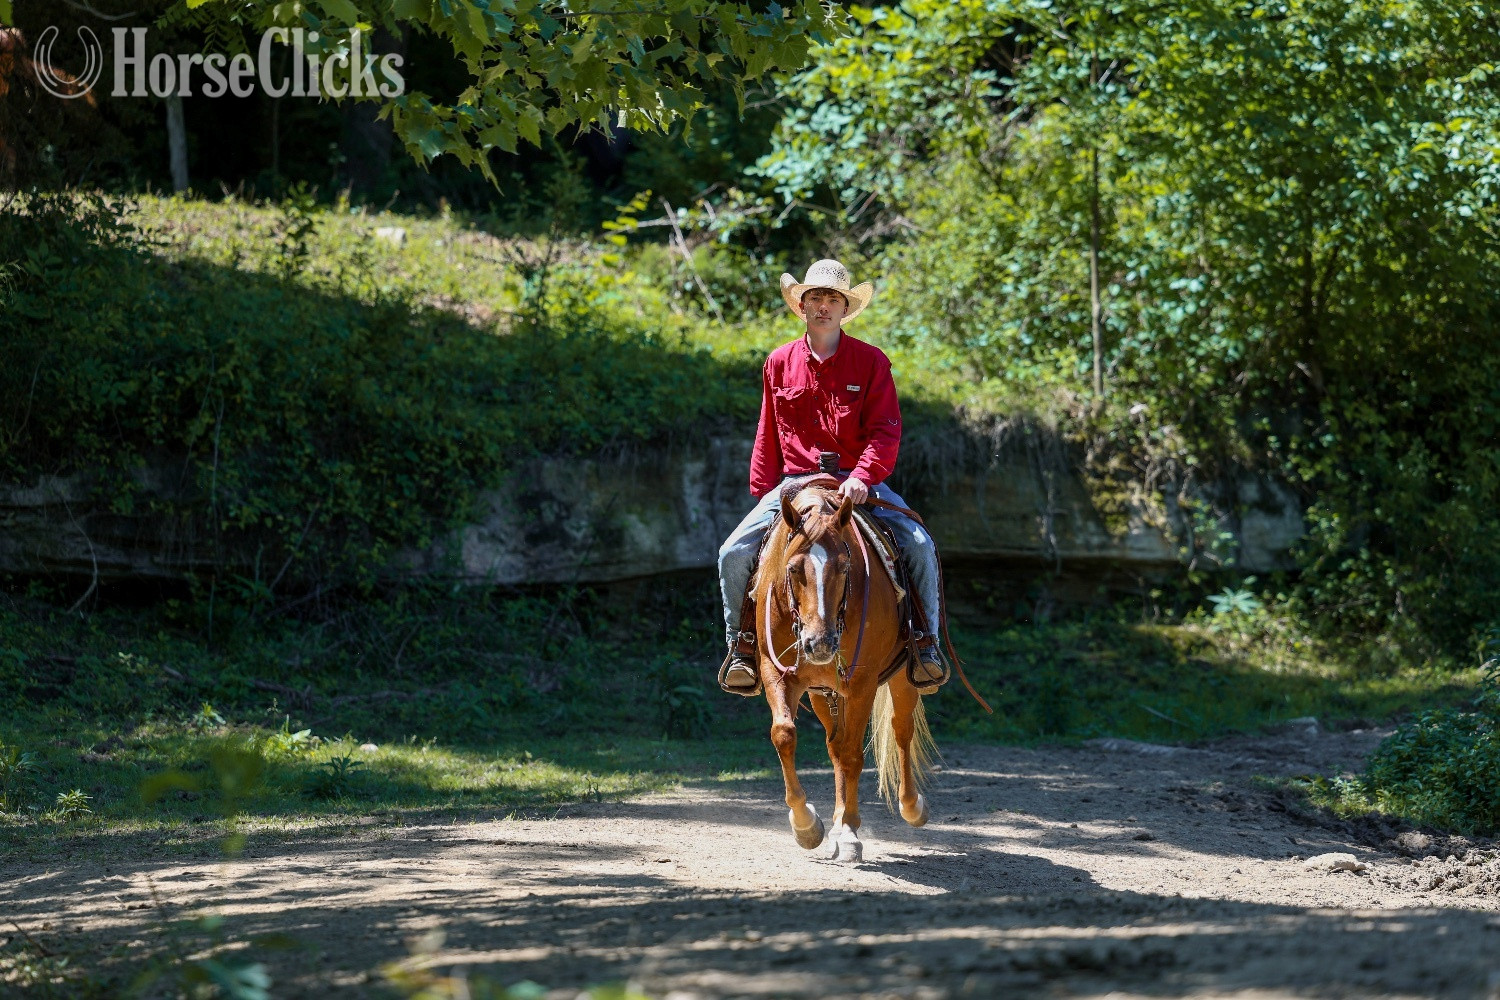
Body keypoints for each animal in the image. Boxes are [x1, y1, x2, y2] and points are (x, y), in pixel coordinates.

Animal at [753, 477, 939, 862]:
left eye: (843, 567)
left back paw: (910, 806)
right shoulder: (776, 672)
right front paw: (806, 825)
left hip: (901, 678)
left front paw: (850, 834)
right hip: (823, 692)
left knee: (900, 730)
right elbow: (785, 734)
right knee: (834, 746)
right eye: (793, 569)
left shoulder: (863, 683)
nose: (819, 643)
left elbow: (854, 755)